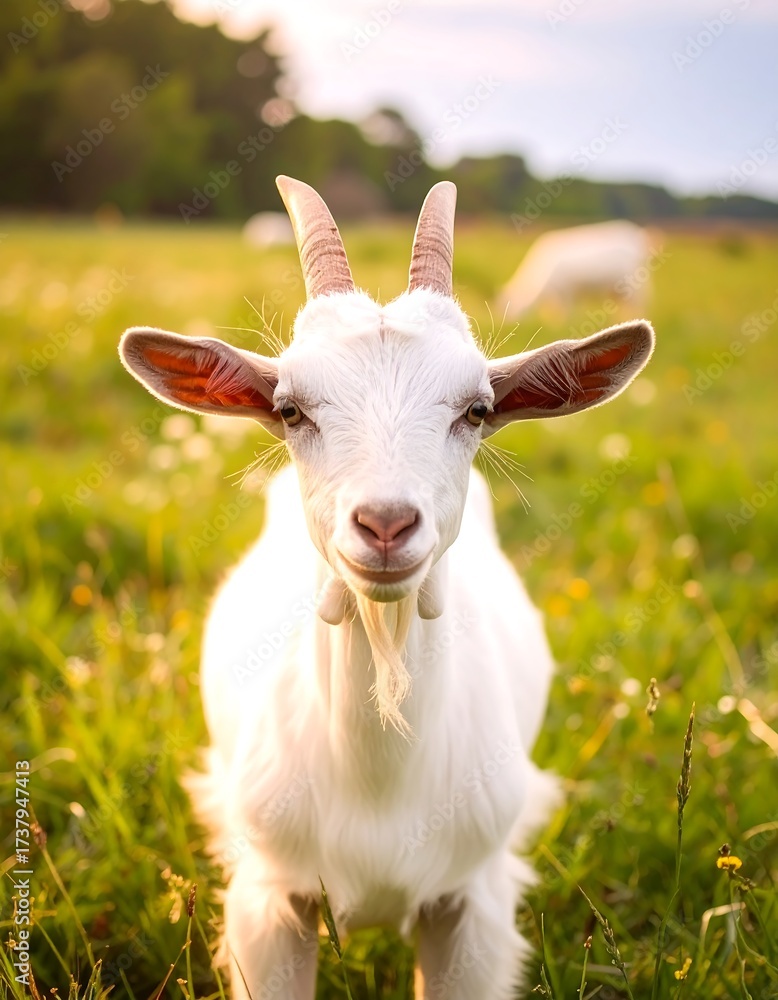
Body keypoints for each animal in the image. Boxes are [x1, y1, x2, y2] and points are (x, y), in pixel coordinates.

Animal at [498, 219, 654, 321]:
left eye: (509, 307)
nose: (502, 322)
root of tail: (635, 235)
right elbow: (551, 311)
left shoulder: (566, 291)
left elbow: (565, 309)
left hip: (635, 284)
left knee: (641, 302)